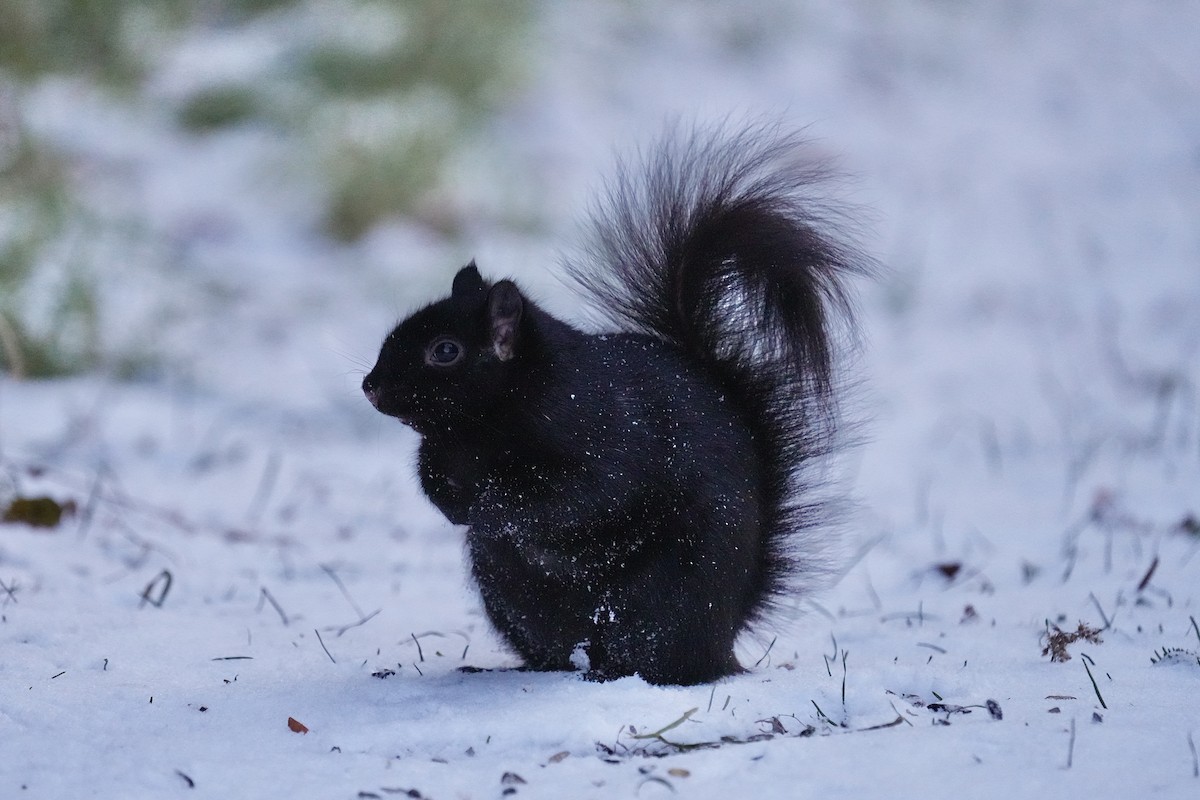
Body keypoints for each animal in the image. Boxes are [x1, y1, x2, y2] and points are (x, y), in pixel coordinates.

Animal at [362, 125, 869, 685]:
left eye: (445, 351)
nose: (370, 387)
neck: (476, 429)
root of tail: (722, 642)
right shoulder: (443, 450)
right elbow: (432, 476)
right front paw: (452, 506)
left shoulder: (602, 432)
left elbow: (581, 493)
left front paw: (490, 507)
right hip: (513, 595)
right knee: (556, 648)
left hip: (662, 598)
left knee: (653, 656)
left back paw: (614, 674)